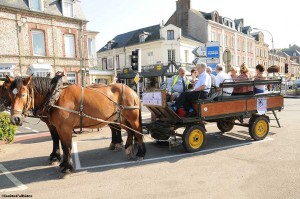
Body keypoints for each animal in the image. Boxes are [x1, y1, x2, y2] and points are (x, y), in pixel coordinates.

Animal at [6, 75, 145, 175]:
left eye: (23, 95)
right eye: (10, 95)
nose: (15, 119)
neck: (56, 97)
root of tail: (132, 91)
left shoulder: (65, 128)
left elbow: (67, 147)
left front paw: (67, 167)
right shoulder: (57, 127)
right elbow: (60, 143)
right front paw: (61, 162)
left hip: (132, 118)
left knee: (138, 132)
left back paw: (140, 153)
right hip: (122, 118)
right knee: (130, 132)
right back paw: (128, 149)